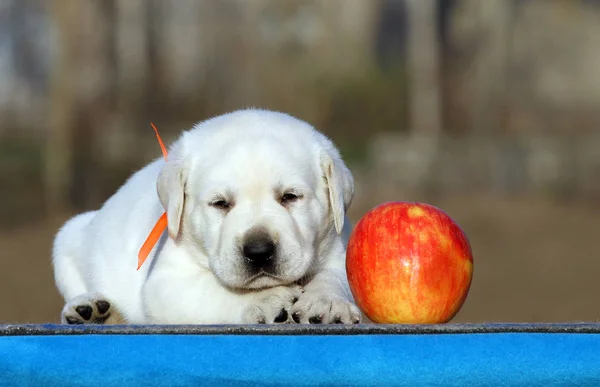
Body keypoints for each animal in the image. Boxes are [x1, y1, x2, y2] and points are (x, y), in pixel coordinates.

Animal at [52, 110, 360, 326]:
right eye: (220, 203)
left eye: (290, 197)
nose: (258, 251)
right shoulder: (166, 285)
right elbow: (214, 292)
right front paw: (266, 298)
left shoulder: (337, 243)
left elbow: (335, 276)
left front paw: (327, 301)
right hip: (68, 237)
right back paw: (89, 310)